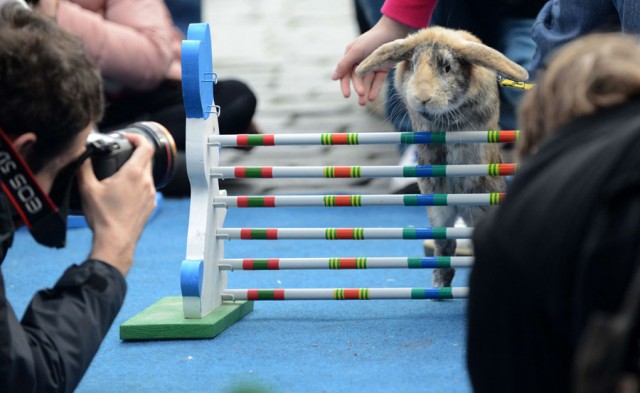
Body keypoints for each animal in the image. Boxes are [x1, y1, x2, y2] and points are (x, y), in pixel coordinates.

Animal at [356, 26, 528, 286]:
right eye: (413, 65)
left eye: (447, 67)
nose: (423, 97)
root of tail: (456, 203)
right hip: (438, 211)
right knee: (444, 246)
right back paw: (440, 283)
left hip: (479, 207)